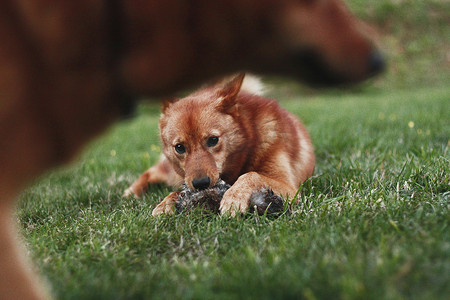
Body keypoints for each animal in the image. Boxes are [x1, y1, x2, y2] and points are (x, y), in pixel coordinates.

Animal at [0, 1, 384, 298]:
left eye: (213, 140)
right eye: (180, 146)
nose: (201, 185)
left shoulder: (283, 183)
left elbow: (250, 174)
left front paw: (233, 197)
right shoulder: (185, 174)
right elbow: (175, 194)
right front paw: (164, 206)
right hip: (168, 171)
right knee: (151, 173)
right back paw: (131, 193)